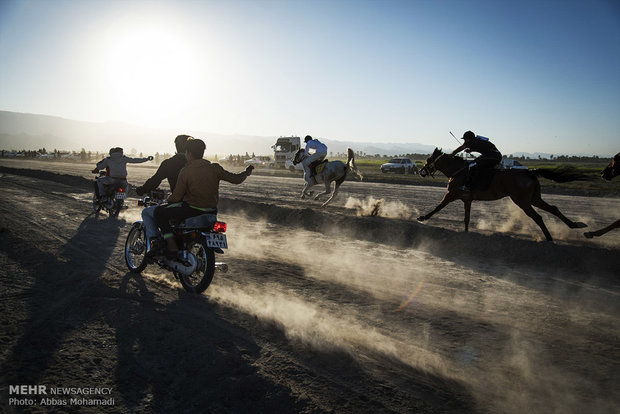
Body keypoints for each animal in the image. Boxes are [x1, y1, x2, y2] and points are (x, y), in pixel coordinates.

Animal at [416, 148, 588, 241]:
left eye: (428, 159)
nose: (421, 171)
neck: (458, 171)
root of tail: (529, 172)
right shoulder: (467, 199)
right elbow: (467, 218)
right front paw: (466, 232)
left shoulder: (451, 194)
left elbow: (438, 207)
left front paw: (422, 217)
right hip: (534, 198)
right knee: (553, 208)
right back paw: (576, 225)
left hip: (522, 201)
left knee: (538, 217)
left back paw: (549, 238)